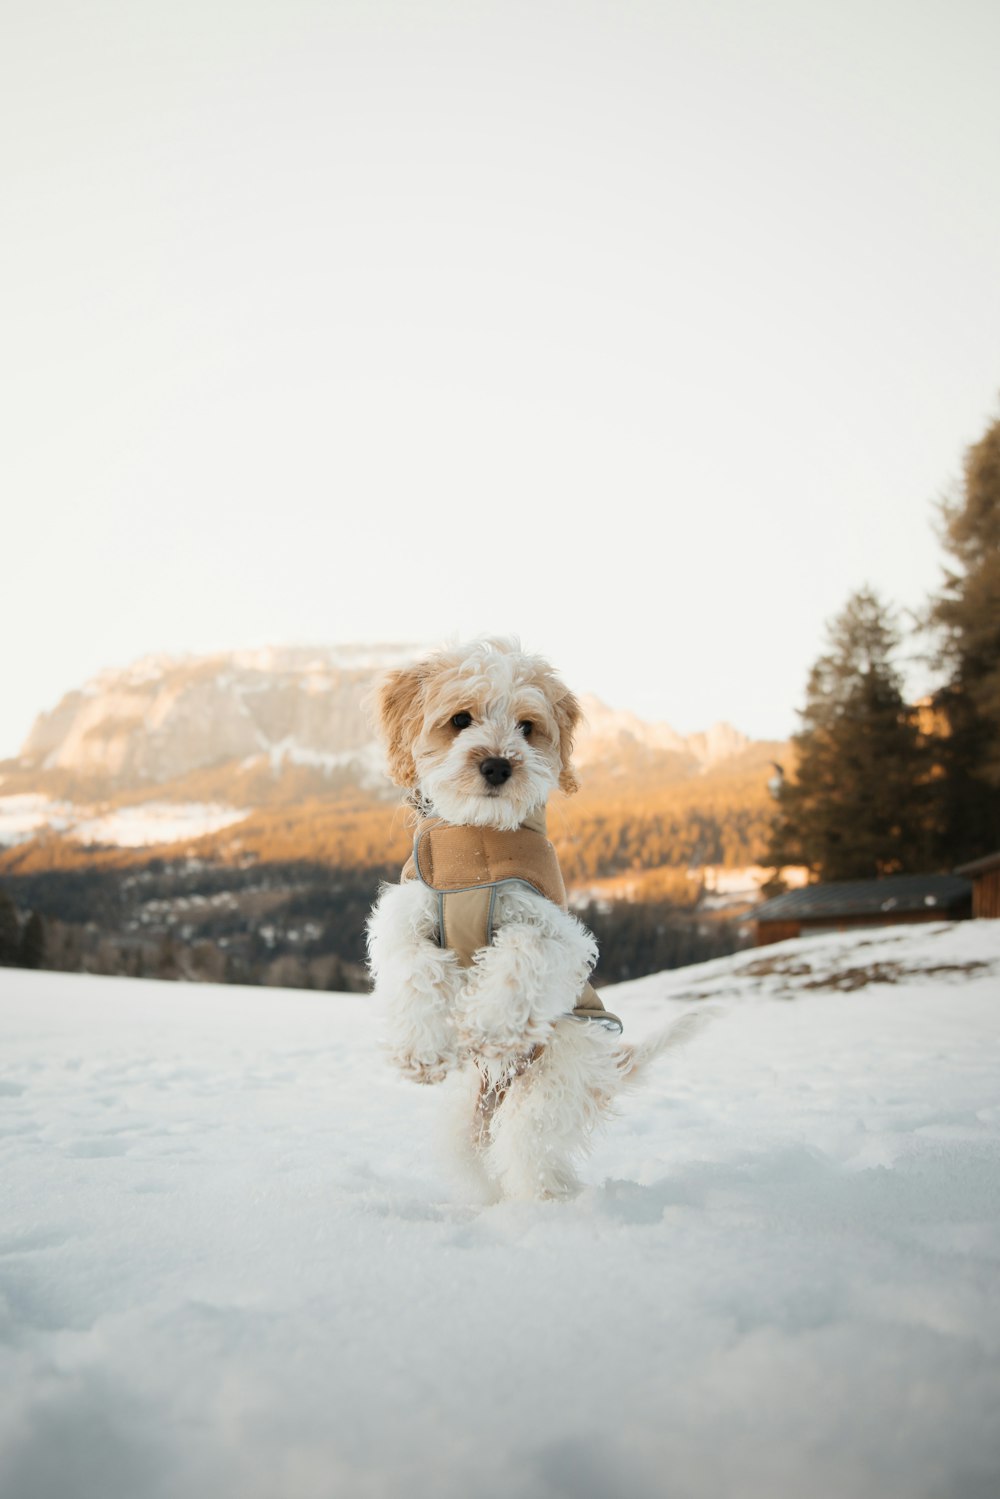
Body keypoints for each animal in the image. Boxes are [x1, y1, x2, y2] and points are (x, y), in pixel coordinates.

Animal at [364, 638, 701, 1199]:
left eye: (527, 726)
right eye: (460, 719)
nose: (499, 765)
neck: (478, 843)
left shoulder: (556, 930)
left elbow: (523, 951)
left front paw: (493, 1025)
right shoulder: (406, 913)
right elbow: (416, 967)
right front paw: (422, 1049)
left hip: (547, 1092)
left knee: (534, 1159)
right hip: (463, 1121)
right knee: (478, 1161)